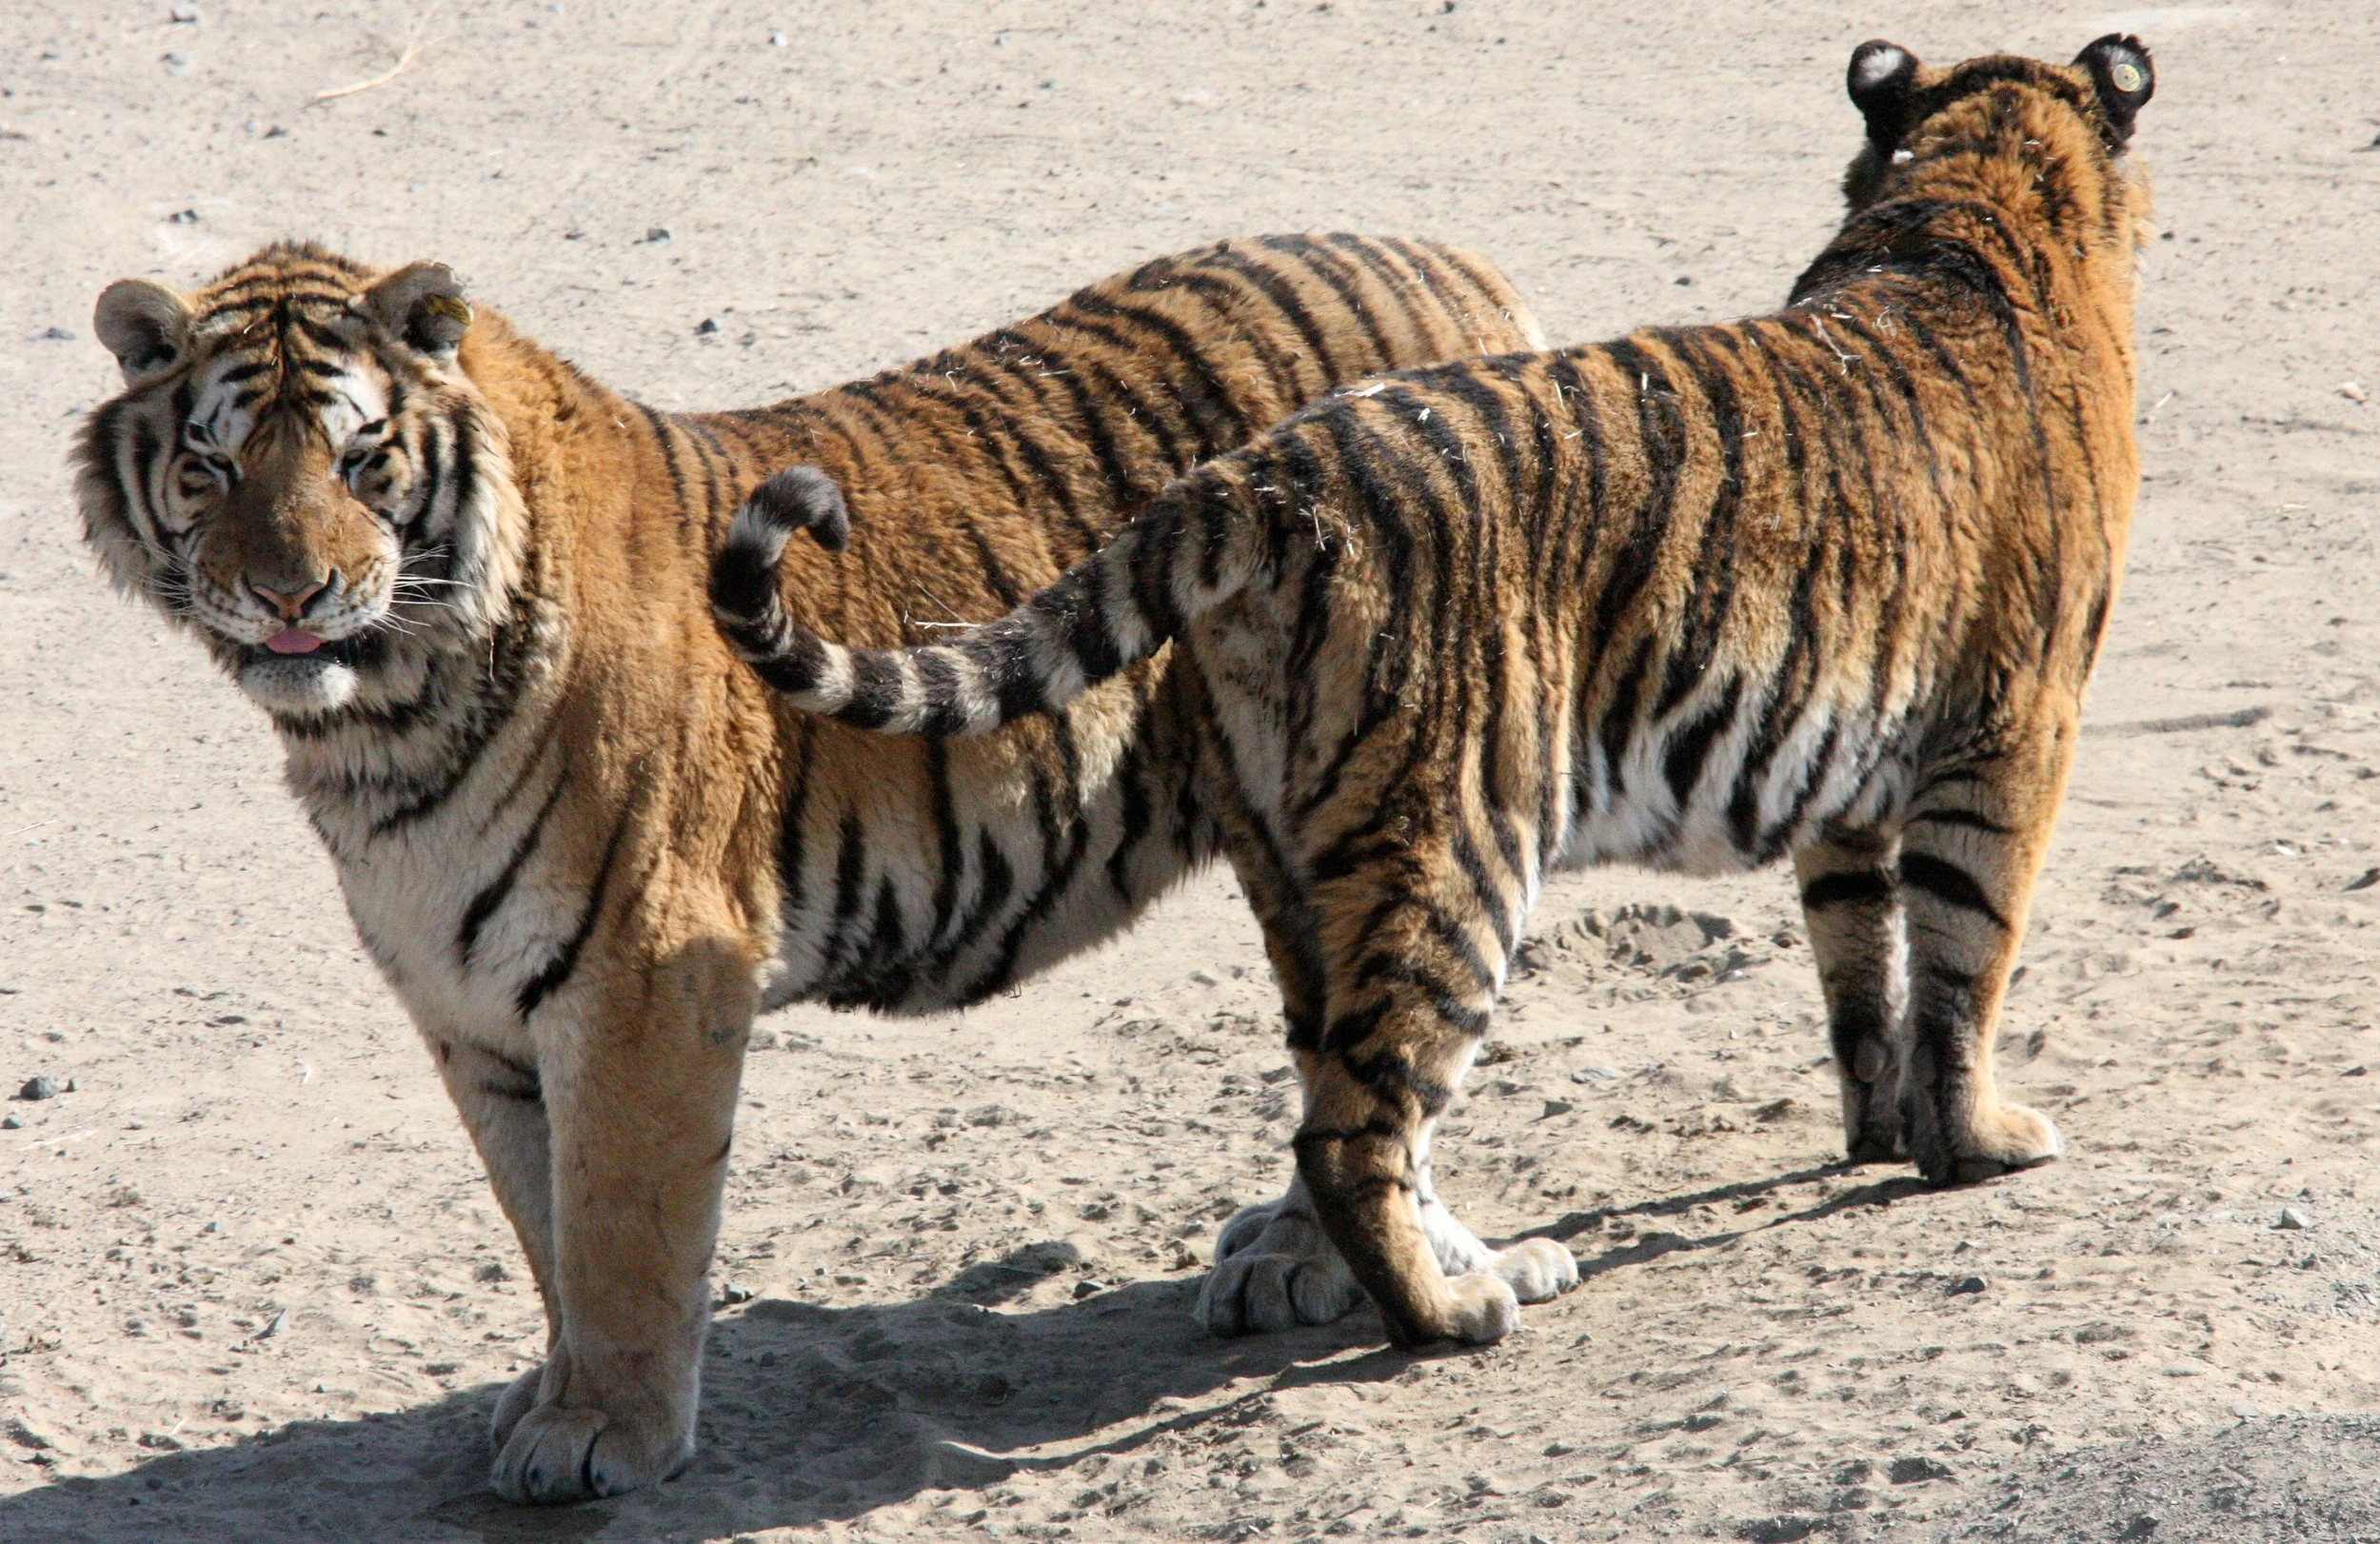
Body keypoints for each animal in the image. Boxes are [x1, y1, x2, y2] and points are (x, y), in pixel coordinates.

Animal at [71, 234, 1543, 1500]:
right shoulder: (468, 1003)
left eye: (361, 456)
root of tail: (1455, 265)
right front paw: (551, 1390)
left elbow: (617, 1224)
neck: (377, 727)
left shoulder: (643, 976)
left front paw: (603, 1430)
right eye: (211, 467)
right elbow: (542, 1221)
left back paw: (1329, 1269)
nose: (290, 596)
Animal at [708, 36, 2158, 1352]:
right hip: (1462, 840)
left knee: (1330, 1082)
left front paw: (1876, 1129)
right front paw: (1977, 1140)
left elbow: (1860, 959)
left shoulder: (1852, 769)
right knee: (1354, 1131)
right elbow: (1968, 952)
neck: (1966, 201)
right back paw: (1451, 1312)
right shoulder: (2017, 731)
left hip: (1298, 857)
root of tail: (1272, 473)